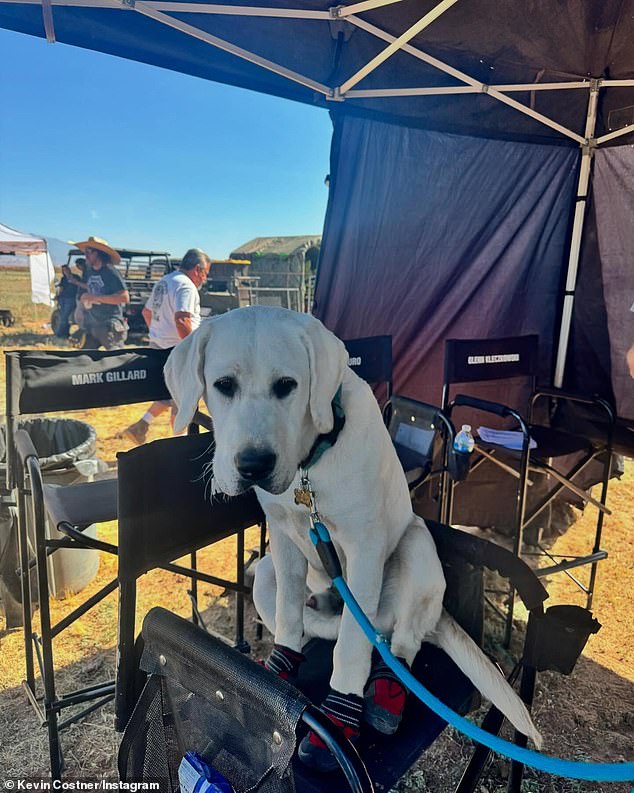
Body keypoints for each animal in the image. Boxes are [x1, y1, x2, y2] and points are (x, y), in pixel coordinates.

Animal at [164, 308, 540, 760]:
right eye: (223, 385)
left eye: (286, 386)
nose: (253, 465)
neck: (309, 467)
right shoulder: (283, 540)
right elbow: (289, 616)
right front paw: (277, 673)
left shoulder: (363, 550)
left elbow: (351, 647)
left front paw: (341, 715)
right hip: (266, 572)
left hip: (416, 549)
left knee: (398, 645)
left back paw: (383, 695)